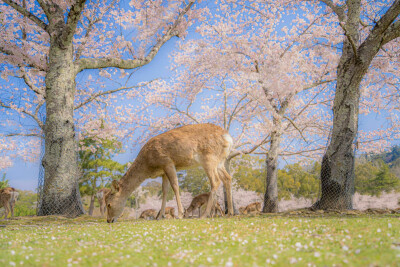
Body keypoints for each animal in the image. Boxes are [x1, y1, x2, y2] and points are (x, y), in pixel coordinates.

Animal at [104, 124, 234, 224]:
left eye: (109, 204)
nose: (109, 220)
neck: (149, 165)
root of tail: (227, 137)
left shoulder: (167, 162)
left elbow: (175, 186)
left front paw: (180, 214)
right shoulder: (163, 172)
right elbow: (165, 191)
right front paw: (159, 216)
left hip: (209, 158)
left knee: (216, 181)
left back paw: (204, 215)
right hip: (220, 162)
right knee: (227, 178)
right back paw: (230, 213)